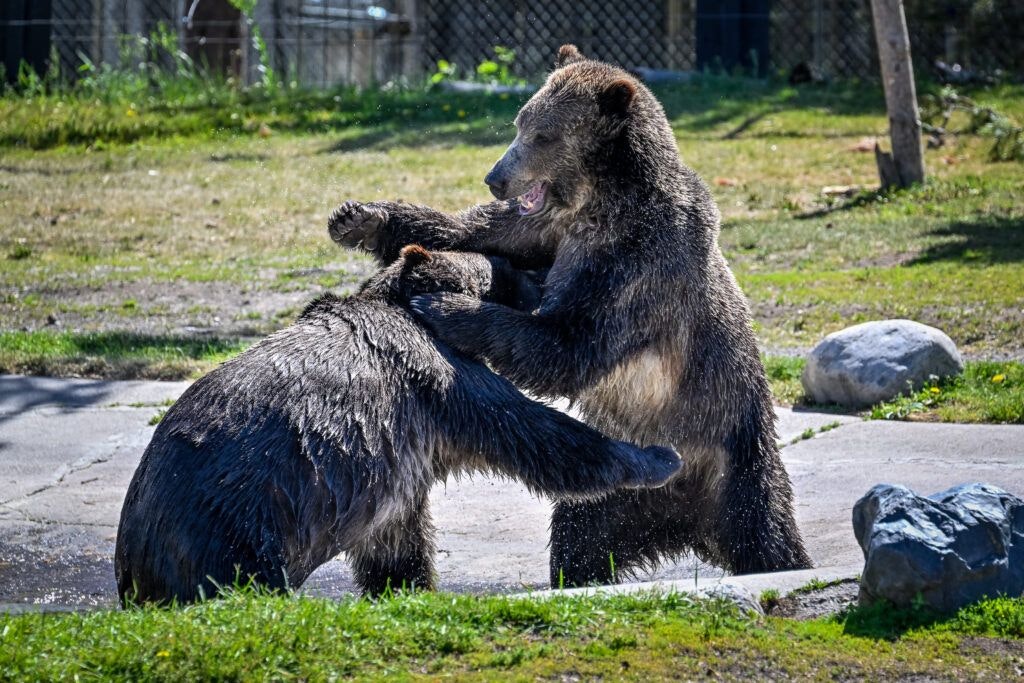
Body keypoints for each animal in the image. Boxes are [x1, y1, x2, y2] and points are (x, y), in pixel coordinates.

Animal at [114, 245, 681, 605]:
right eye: (507, 266)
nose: (544, 275)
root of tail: (134, 557)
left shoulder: (390, 478)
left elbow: (396, 546)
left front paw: (409, 589)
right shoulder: (438, 377)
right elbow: (535, 434)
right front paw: (658, 456)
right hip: (240, 517)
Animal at [327, 44, 813, 586]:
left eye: (543, 134)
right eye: (520, 122)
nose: (496, 178)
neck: (600, 203)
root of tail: (688, 518)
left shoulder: (639, 265)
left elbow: (571, 345)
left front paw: (448, 307)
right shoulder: (545, 229)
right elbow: (471, 232)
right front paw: (360, 218)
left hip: (733, 455)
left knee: (764, 531)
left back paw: (784, 561)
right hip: (620, 496)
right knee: (581, 533)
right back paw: (580, 574)